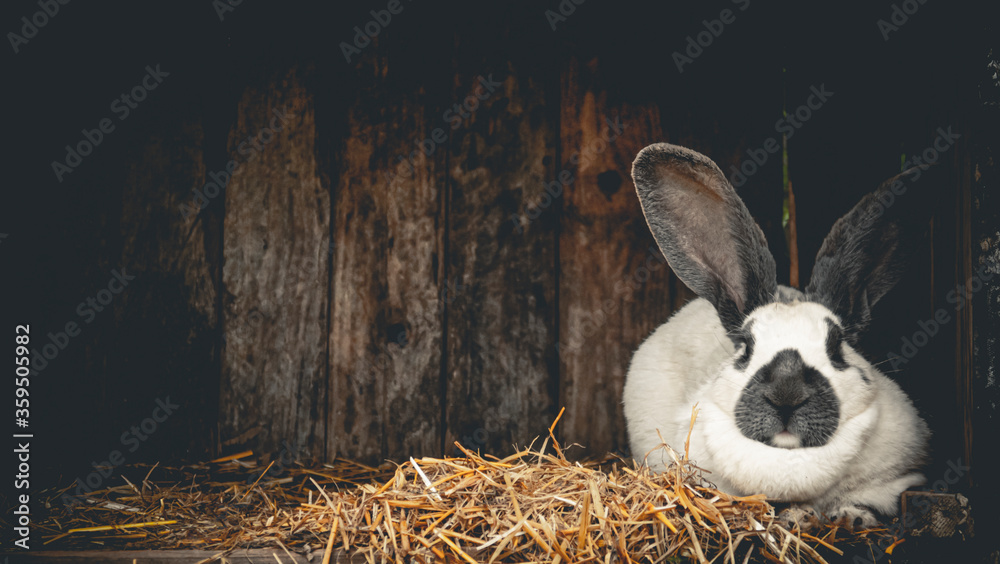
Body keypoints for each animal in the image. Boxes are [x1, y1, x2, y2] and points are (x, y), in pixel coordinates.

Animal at [622, 143, 930, 529]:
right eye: (746, 347)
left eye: (836, 346)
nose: (787, 393)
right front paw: (797, 517)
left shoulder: (900, 478)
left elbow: (870, 499)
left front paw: (850, 517)